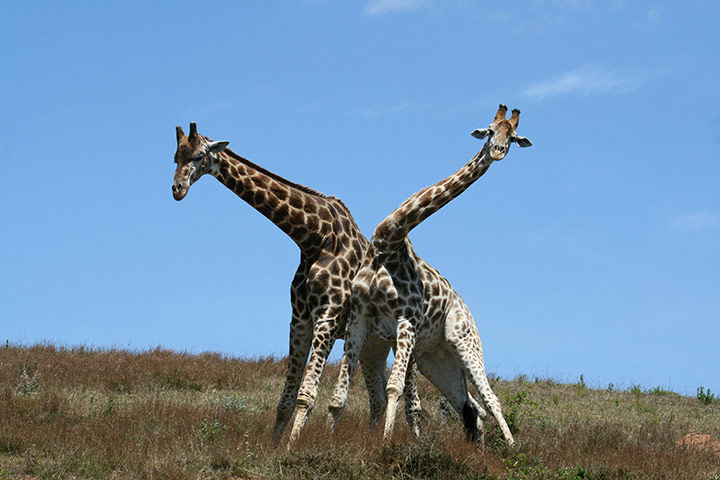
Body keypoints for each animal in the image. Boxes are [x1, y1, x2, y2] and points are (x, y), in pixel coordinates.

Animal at [170, 122, 422, 445]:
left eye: (200, 156)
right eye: (175, 156)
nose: (177, 189)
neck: (312, 238)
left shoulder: (328, 316)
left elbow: (307, 395)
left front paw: (292, 447)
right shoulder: (299, 318)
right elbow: (285, 400)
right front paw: (276, 447)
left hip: (407, 337)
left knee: (413, 402)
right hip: (371, 344)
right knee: (376, 397)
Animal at [329, 105, 532, 445]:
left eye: (514, 137)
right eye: (490, 130)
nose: (498, 151)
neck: (388, 242)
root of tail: (467, 311)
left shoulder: (406, 320)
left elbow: (395, 388)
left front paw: (385, 445)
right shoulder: (360, 317)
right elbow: (339, 395)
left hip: (465, 342)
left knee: (491, 400)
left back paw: (513, 450)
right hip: (436, 358)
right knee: (469, 406)